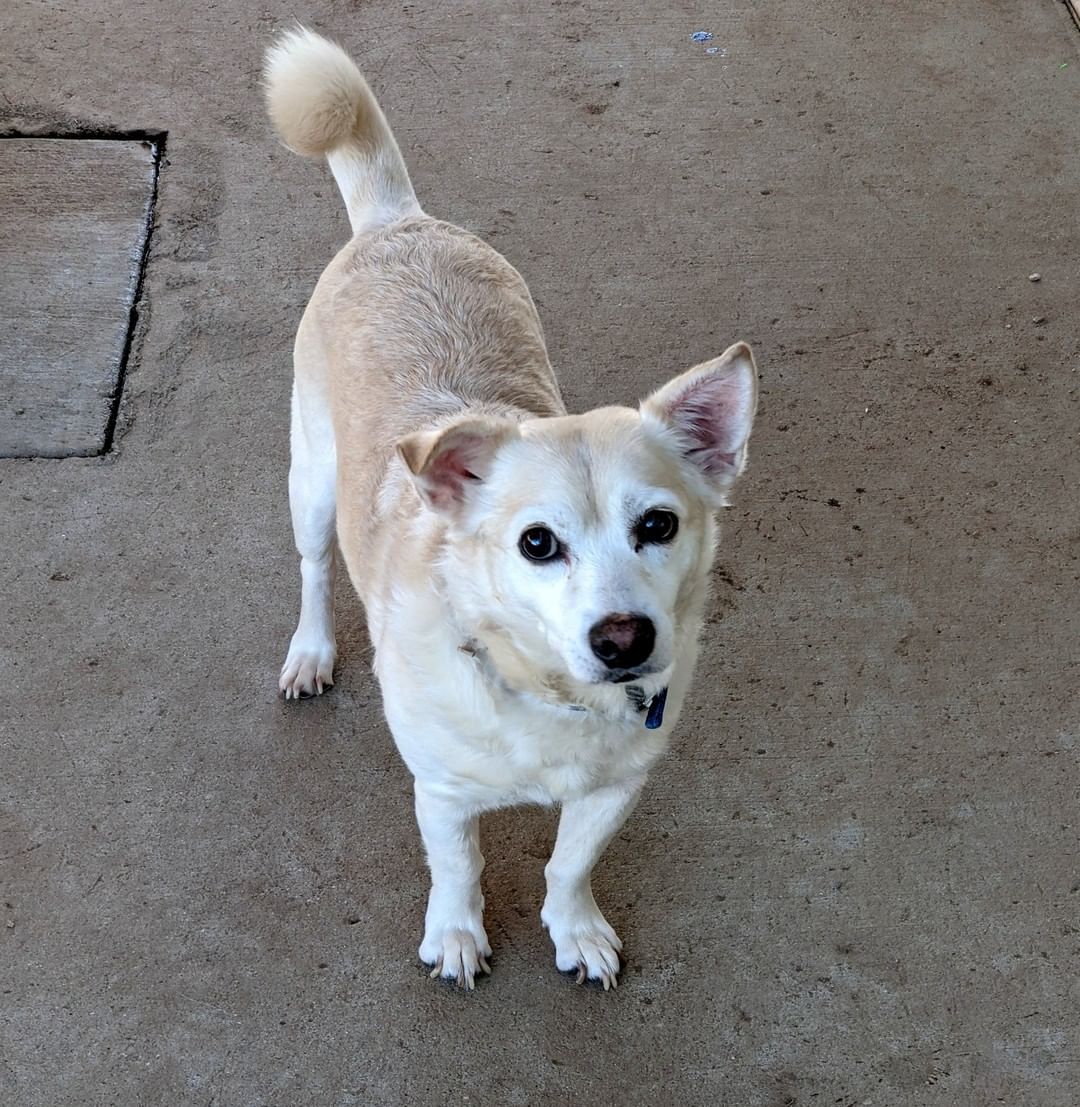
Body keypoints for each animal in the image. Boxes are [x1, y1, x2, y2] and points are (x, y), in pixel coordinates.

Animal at [263, 28, 761, 996]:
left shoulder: (615, 789)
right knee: (312, 567)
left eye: (659, 525)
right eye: (538, 543)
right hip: (311, 484)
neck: (550, 697)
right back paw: (311, 650)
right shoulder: (443, 793)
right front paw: (456, 934)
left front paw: (577, 929)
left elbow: (569, 863)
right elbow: (459, 866)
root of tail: (399, 222)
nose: (624, 639)